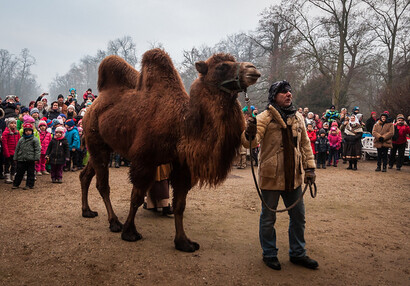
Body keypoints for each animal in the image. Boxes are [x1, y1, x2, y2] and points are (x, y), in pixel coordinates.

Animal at [80, 49, 260, 252]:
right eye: (222, 66)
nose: (252, 69)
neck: (181, 125)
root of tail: (93, 106)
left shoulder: (182, 165)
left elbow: (180, 204)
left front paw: (183, 242)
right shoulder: (144, 160)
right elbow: (136, 197)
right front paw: (130, 232)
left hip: (103, 146)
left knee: (86, 175)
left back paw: (87, 211)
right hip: (96, 142)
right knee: (103, 185)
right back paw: (114, 222)